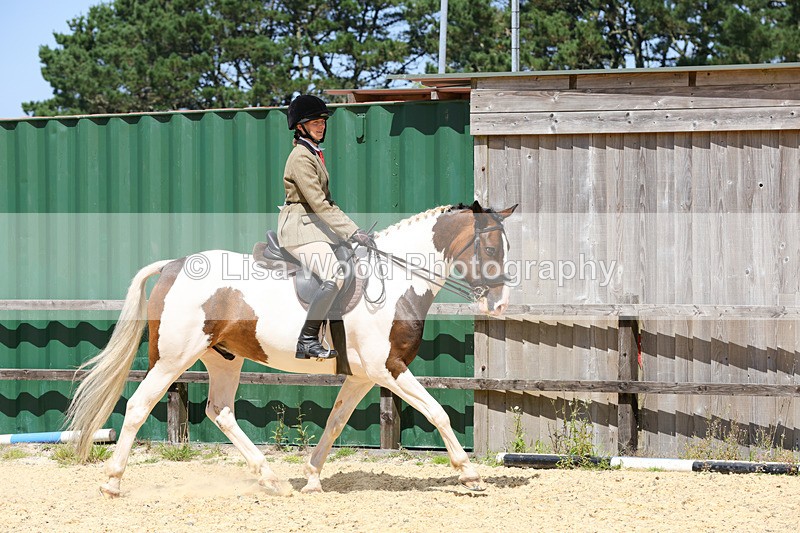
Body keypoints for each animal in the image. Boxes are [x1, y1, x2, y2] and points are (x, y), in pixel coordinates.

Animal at [66, 200, 517, 497]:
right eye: (491, 249)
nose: (500, 304)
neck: (395, 281)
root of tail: (173, 265)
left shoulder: (363, 376)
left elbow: (336, 422)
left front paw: (312, 478)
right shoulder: (389, 368)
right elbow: (438, 412)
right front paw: (469, 474)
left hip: (224, 358)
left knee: (220, 411)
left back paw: (270, 478)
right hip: (173, 358)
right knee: (139, 405)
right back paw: (112, 481)